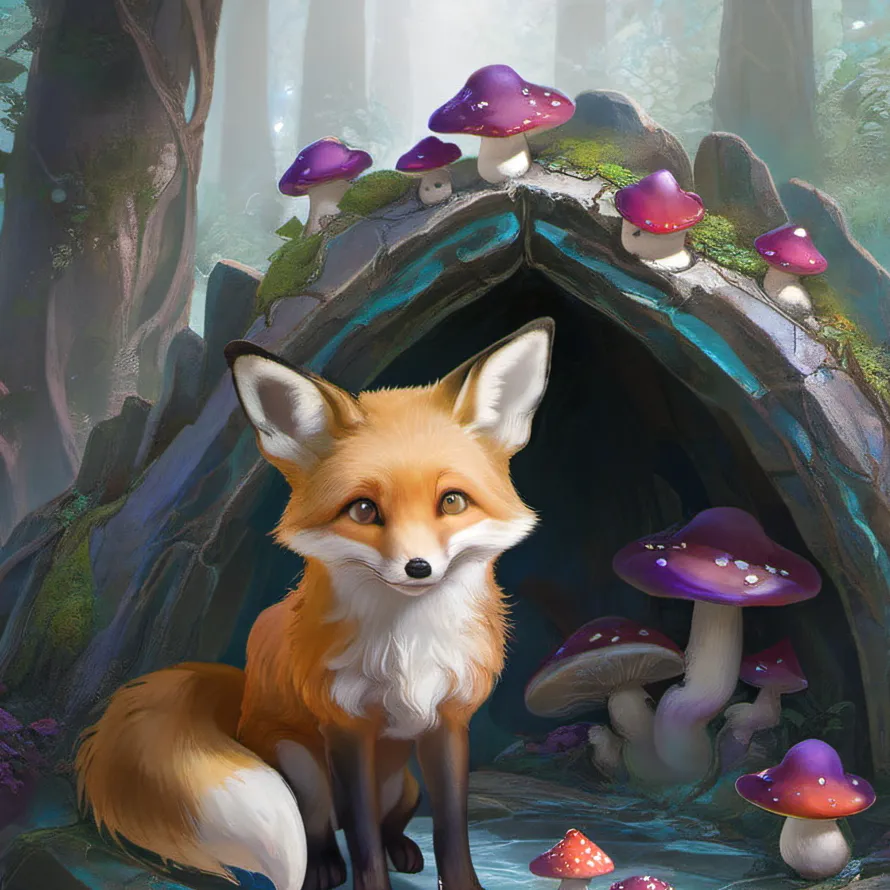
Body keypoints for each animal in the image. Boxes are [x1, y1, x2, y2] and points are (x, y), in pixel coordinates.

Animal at [74, 317, 555, 890]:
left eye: (453, 501)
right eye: (364, 510)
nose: (418, 568)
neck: (407, 646)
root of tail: (244, 694)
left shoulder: (449, 721)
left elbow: (451, 829)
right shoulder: (346, 728)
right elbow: (362, 841)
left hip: (403, 784)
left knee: (392, 822)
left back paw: (403, 848)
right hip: (302, 769)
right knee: (324, 828)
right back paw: (324, 867)